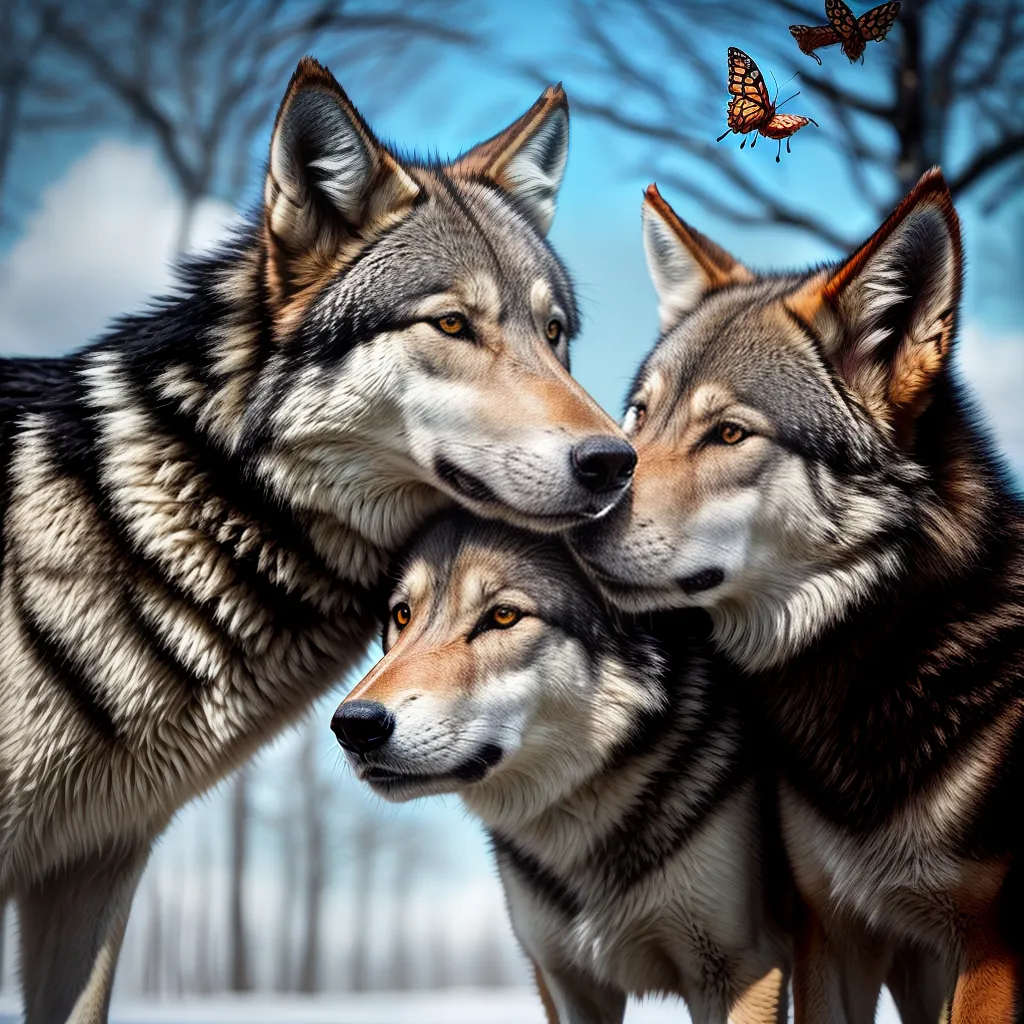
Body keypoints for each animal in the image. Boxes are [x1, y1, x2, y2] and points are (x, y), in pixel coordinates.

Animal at [332, 513, 794, 1024]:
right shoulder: (562, 977)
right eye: (402, 615)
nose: (353, 726)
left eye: (503, 616)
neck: (578, 820)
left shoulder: (741, 968)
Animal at [571, 172, 1022, 1021]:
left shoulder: (991, 950)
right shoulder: (832, 929)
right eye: (638, 417)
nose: (577, 511)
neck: (881, 650)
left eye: (729, 434)